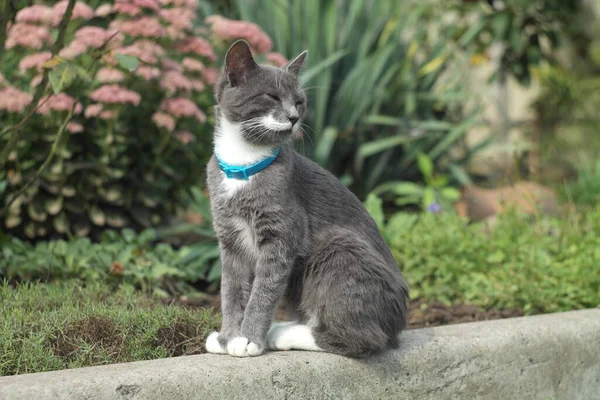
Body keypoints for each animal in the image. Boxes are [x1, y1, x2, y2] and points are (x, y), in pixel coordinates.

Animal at [205, 39, 408, 360]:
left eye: (299, 101)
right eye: (272, 96)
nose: (294, 117)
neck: (243, 165)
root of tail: (400, 321)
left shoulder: (282, 232)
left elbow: (263, 290)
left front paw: (248, 340)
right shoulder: (229, 238)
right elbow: (231, 289)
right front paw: (227, 338)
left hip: (338, 247)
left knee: (365, 338)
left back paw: (281, 333)